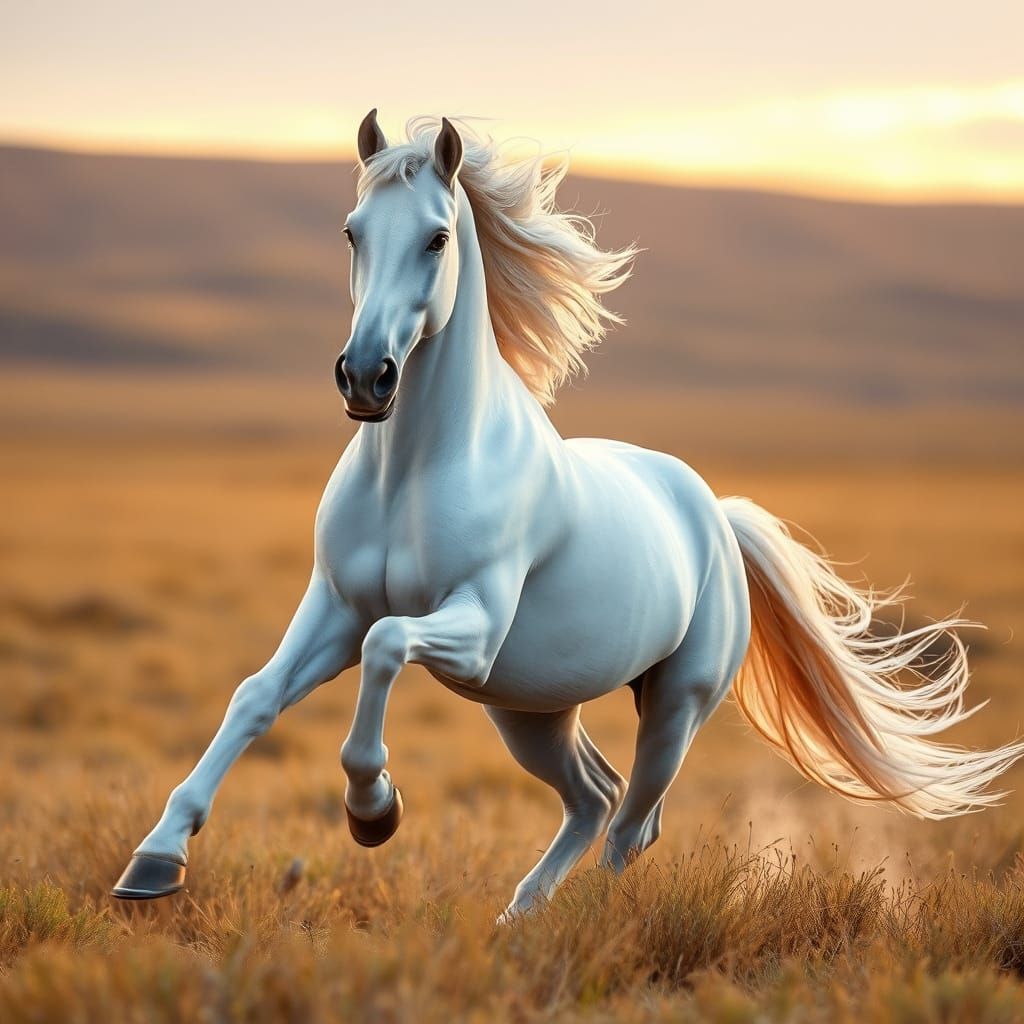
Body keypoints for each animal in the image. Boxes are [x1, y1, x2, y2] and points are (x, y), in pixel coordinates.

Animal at [113, 111, 1024, 918]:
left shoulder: (471, 627)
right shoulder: (335, 607)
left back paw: (582, 922)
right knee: (593, 798)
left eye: (437, 238)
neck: (415, 472)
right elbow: (255, 697)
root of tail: (715, 516)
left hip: (672, 705)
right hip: (532, 712)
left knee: (631, 824)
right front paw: (155, 861)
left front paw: (373, 810)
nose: (365, 377)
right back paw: (518, 917)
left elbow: (387, 648)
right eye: (351, 232)